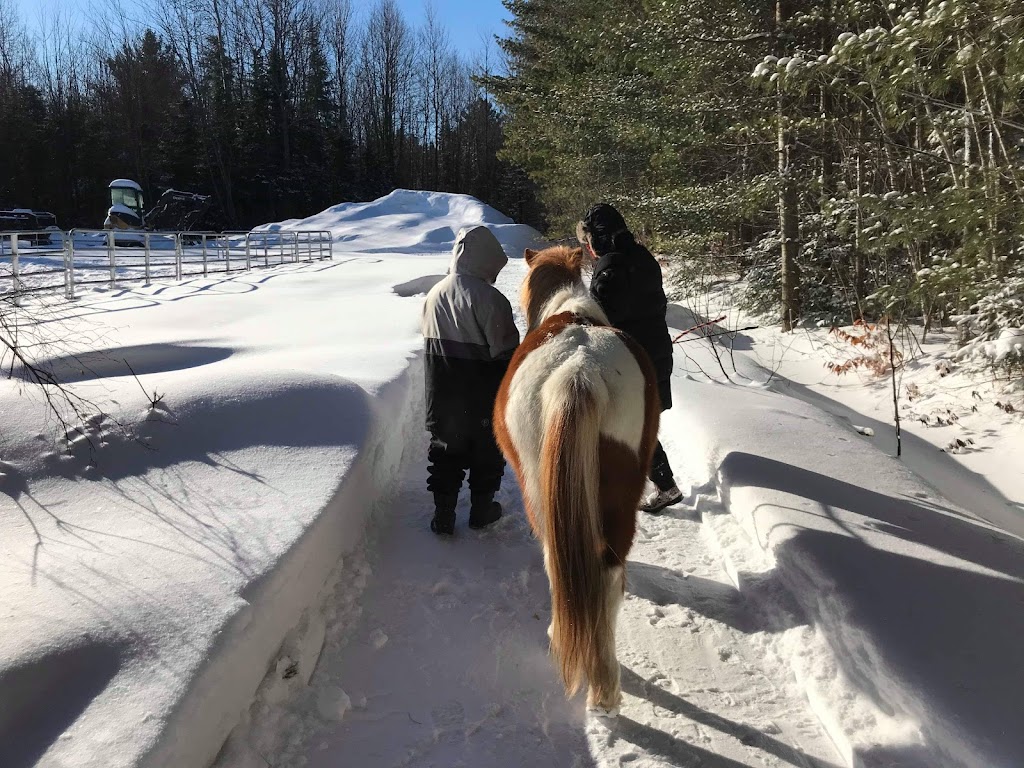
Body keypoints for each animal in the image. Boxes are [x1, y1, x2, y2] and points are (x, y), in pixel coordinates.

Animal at [491, 244, 659, 716]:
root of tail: (579, 371)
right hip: (619, 501)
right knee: (608, 574)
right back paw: (606, 686)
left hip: (538, 491)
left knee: (556, 562)